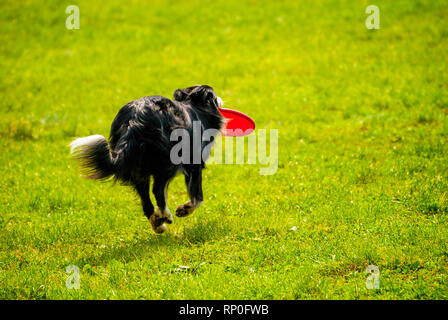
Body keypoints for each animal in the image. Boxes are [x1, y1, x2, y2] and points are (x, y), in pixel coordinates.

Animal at [70, 85, 226, 232]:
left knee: (145, 200)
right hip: (168, 161)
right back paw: (165, 215)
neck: (194, 105)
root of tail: (134, 122)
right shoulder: (194, 162)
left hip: (137, 168)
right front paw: (184, 209)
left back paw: (158, 224)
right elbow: (198, 197)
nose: (220, 99)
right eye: (214, 94)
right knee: (158, 190)